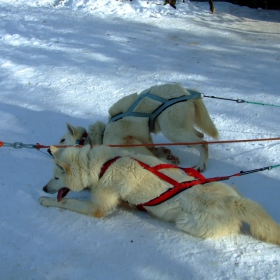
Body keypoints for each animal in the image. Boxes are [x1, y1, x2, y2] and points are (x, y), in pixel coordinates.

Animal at [40, 144, 280, 245]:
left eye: (55, 177)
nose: (43, 188)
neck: (103, 166)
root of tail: (233, 202)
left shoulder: (97, 207)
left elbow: (67, 202)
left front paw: (46, 200)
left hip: (187, 222)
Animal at [53, 82, 219, 171]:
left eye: (62, 140)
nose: (49, 150)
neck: (102, 135)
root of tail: (185, 91)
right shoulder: (145, 138)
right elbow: (155, 150)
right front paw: (166, 154)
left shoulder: (129, 143)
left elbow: (150, 155)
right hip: (178, 129)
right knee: (200, 136)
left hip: (172, 131)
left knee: (203, 143)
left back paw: (201, 165)